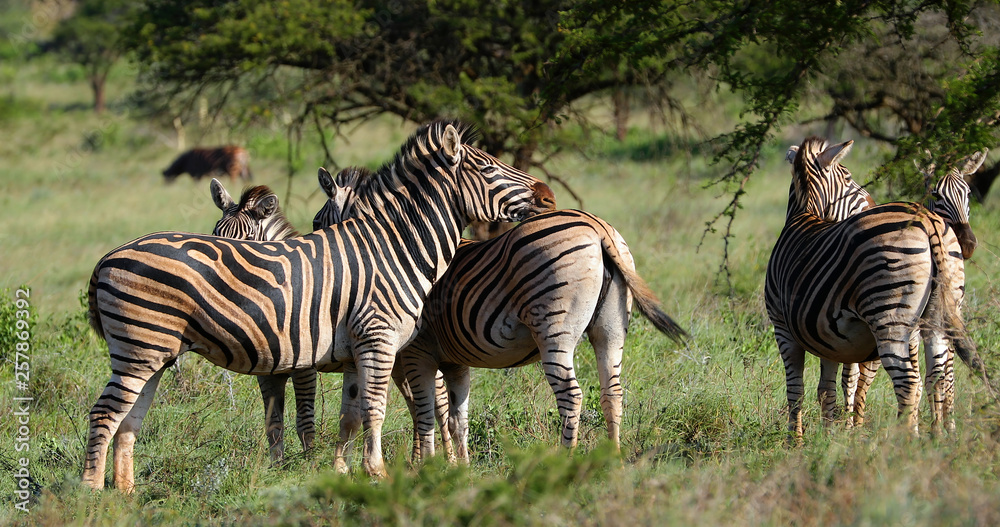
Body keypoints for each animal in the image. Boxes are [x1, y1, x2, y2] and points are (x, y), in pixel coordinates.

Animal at [210, 178, 455, 463]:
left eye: (249, 238)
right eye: (215, 231)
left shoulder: (304, 366)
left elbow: (304, 420)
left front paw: (309, 463)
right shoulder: (267, 370)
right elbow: (273, 422)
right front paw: (275, 466)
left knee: (440, 402)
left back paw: (450, 460)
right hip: (396, 361)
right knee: (416, 403)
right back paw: (415, 461)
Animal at [314, 166, 688, 463]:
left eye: (318, 222)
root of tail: (596, 226)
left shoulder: (415, 352)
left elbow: (425, 411)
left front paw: (425, 465)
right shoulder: (451, 358)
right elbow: (452, 415)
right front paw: (455, 467)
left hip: (554, 329)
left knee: (572, 395)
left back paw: (563, 462)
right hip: (611, 330)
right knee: (613, 392)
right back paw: (611, 459)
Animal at [765, 136, 980, 441]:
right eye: (849, 177)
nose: (871, 202)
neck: (805, 214)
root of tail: (928, 221)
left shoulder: (782, 327)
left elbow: (796, 390)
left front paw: (795, 442)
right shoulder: (827, 337)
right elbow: (827, 390)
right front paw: (830, 440)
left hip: (889, 318)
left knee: (909, 382)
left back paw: (906, 442)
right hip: (935, 318)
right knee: (938, 375)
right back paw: (936, 439)